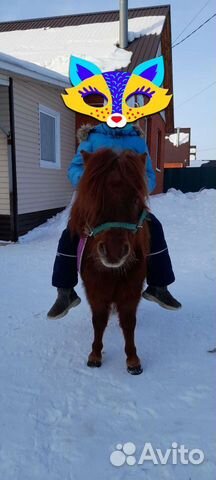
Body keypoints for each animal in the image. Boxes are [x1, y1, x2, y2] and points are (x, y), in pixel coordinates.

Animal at [69, 148, 150, 374]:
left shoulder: (131, 290)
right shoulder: (95, 290)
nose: (114, 252)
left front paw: (132, 359)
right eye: (93, 197)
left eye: (135, 199)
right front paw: (95, 355)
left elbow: (128, 322)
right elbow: (99, 321)